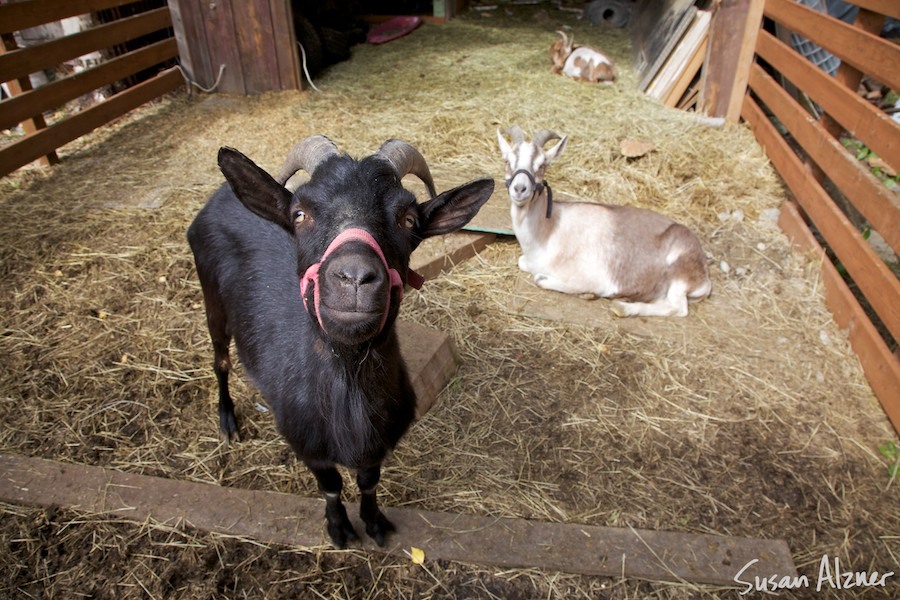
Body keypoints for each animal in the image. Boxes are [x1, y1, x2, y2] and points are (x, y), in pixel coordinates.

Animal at [188, 136, 492, 548]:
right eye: (300, 214)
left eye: (408, 219)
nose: (355, 276)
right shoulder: (307, 444)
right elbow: (330, 484)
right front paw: (339, 529)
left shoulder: (378, 445)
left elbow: (368, 481)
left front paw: (375, 524)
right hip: (212, 301)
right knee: (220, 361)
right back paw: (227, 422)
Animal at [500, 126, 712, 318]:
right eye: (508, 161)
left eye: (542, 165)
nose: (520, 189)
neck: (549, 232)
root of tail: (704, 275)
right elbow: (522, 263)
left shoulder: (591, 278)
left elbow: (540, 279)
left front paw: (589, 293)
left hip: (679, 275)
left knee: (678, 308)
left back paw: (622, 307)